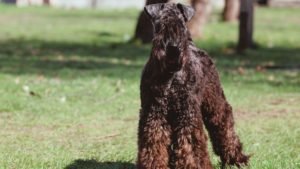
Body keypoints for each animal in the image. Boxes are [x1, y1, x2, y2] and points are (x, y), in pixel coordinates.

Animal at [137, 2, 250, 169]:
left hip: (214, 102)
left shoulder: (187, 113)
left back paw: (237, 158)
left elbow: (189, 143)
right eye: (161, 24)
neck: (171, 77)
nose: (173, 48)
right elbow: (154, 141)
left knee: (224, 122)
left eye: (182, 25)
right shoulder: (153, 112)